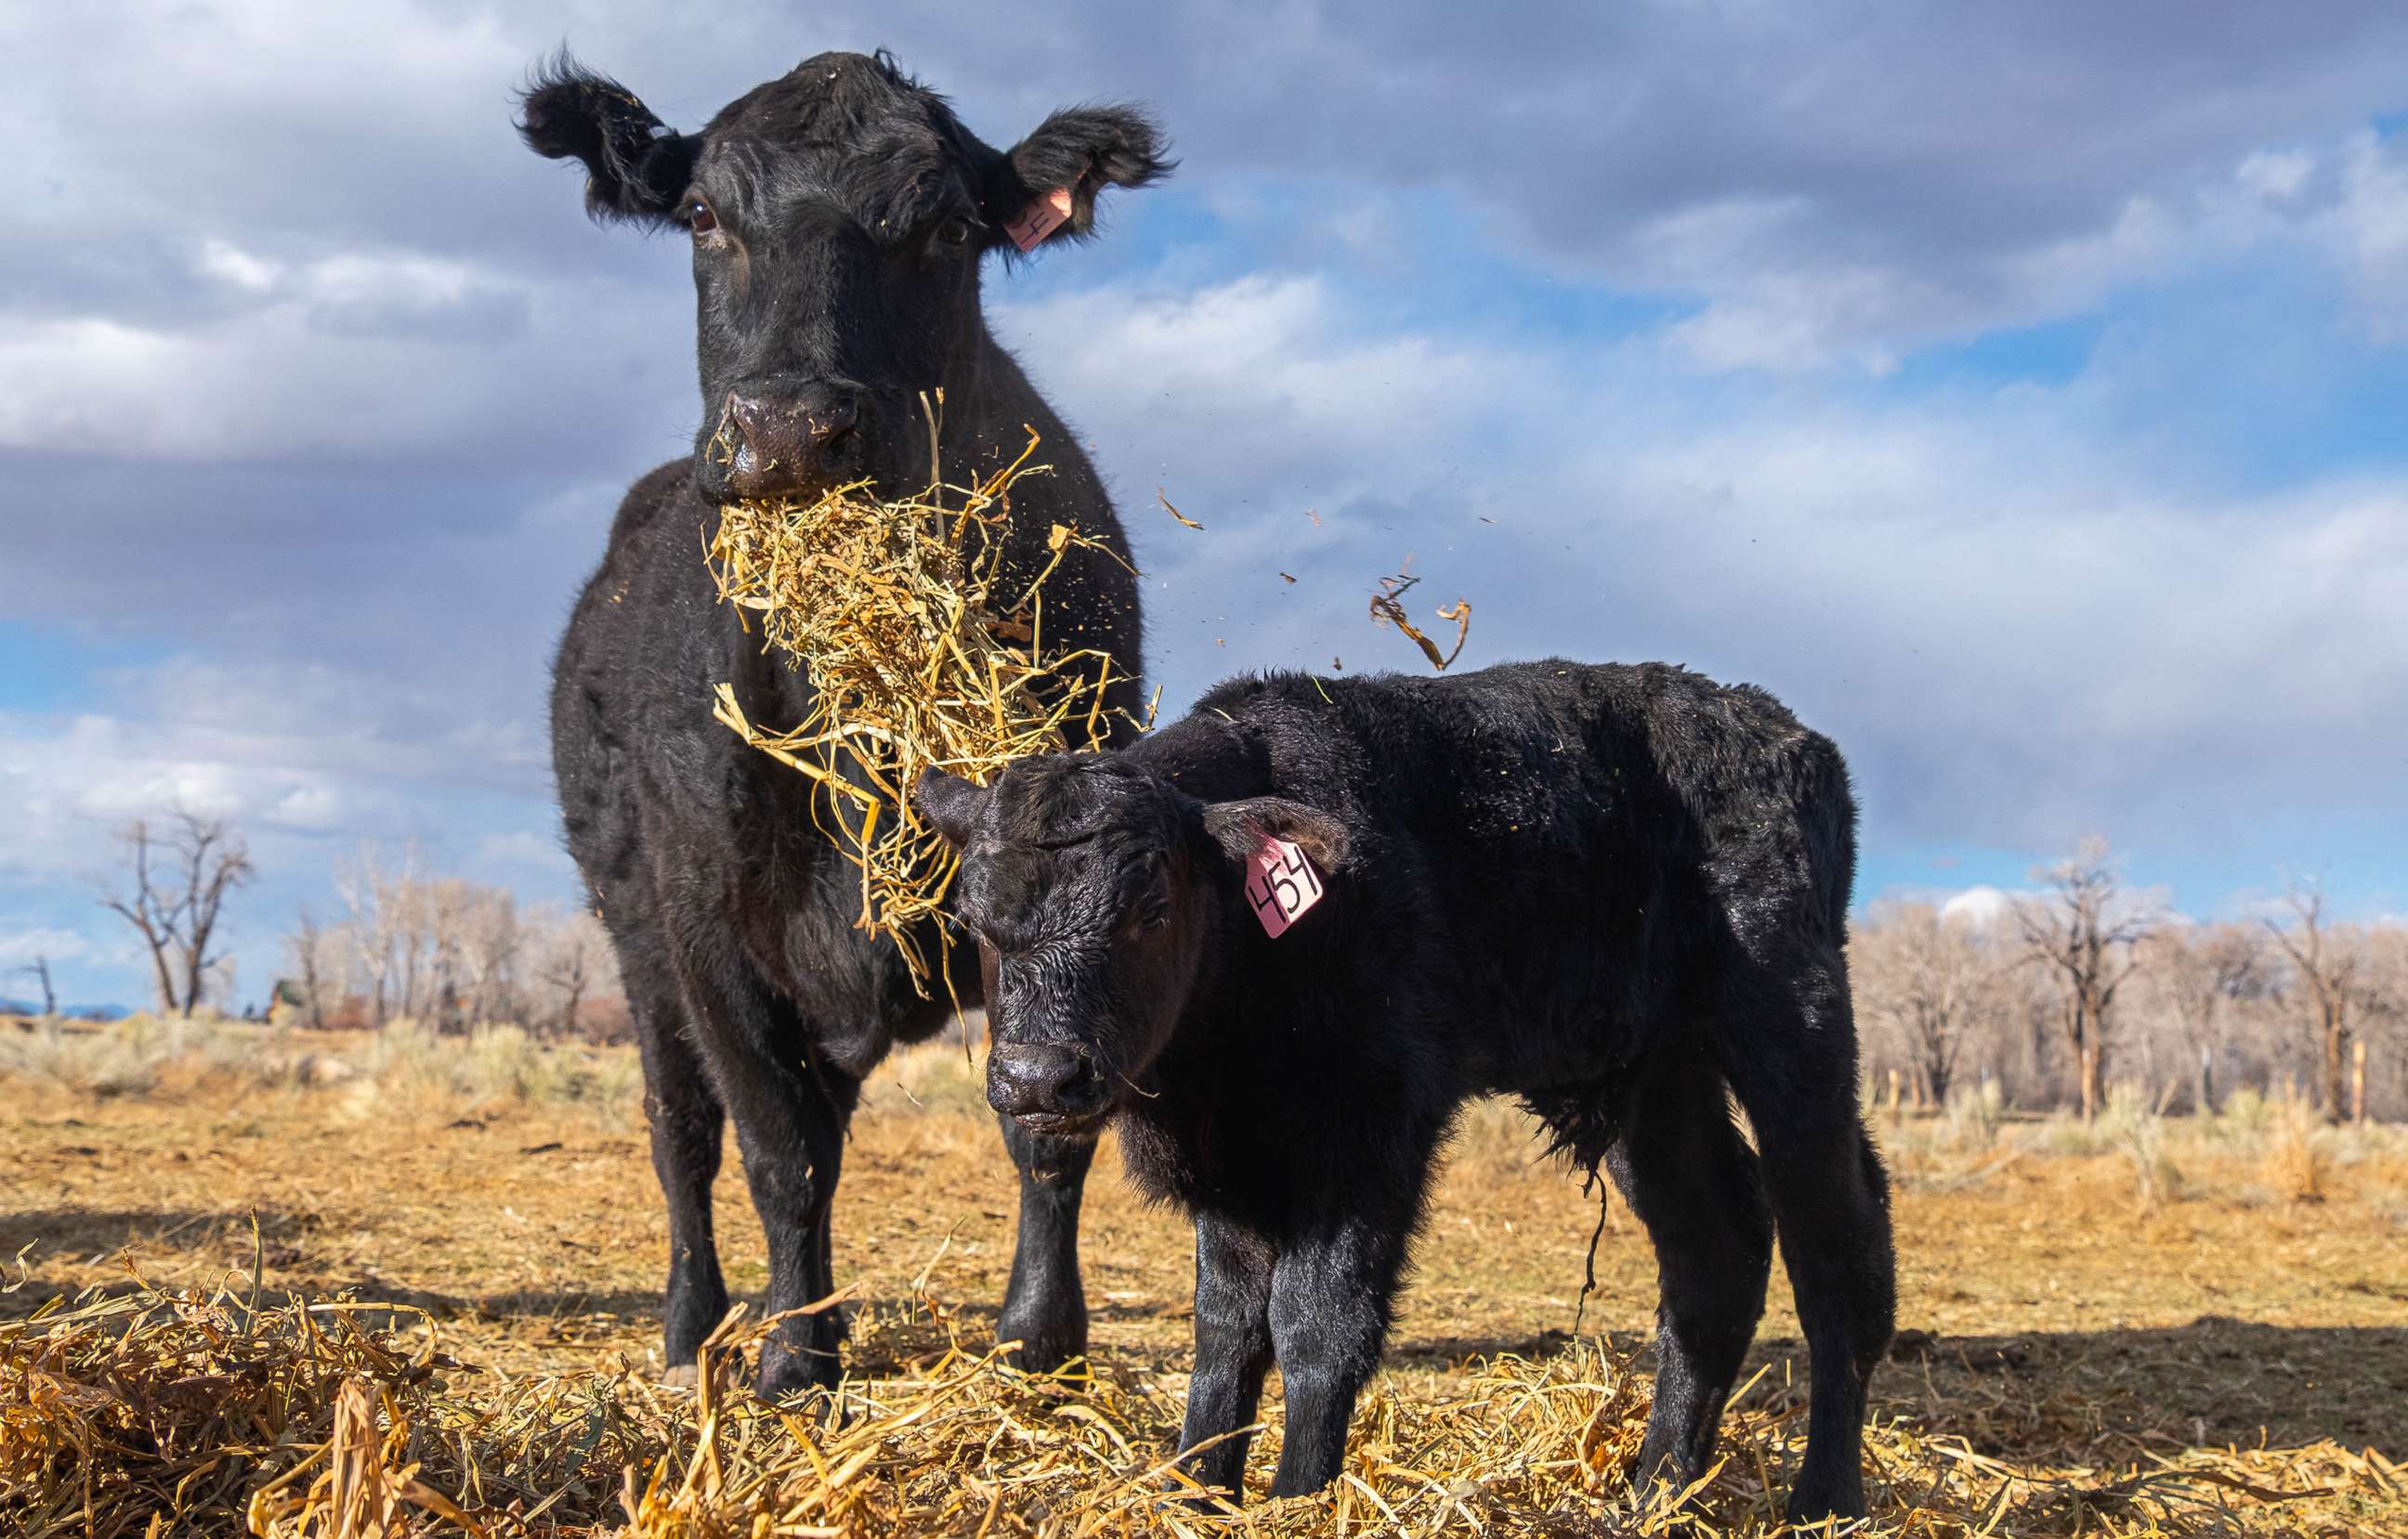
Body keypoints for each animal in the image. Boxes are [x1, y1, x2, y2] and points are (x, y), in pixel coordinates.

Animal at [519, 45, 1174, 1397]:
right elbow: (775, 1148)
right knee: (683, 1132)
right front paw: (794, 1359)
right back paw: (697, 1329)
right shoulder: (705, 917)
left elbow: (1046, 1120)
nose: (786, 430)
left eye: (945, 227)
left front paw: (1039, 1343)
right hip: (633, 928)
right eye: (704, 215)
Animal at [920, 659, 1897, 1521]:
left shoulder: (1373, 1132)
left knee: (1835, 1245)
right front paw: (1192, 1491)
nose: (1038, 1076)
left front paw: (1299, 1500)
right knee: (1715, 1249)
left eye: (1150, 913)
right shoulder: (1235, 1163)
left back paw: (1825, 1500)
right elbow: (1226, 1329)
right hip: (1655, 1076)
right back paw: (1656, 1491)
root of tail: (1782, 732)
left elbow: (1317, 1324)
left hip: (1793, 1026)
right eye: (974, 919)